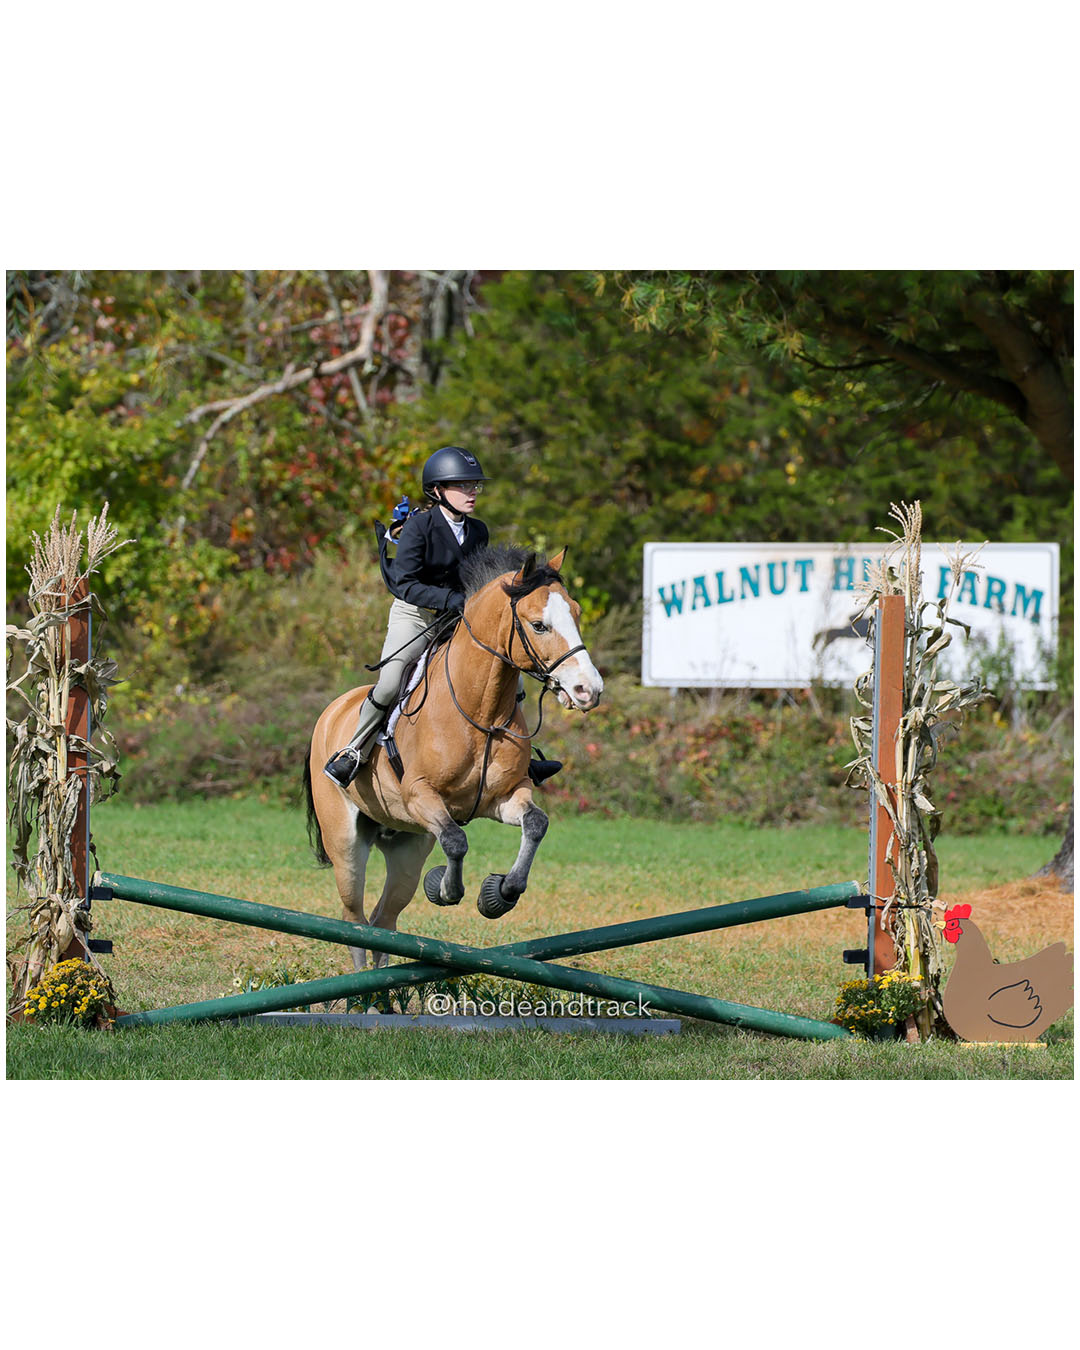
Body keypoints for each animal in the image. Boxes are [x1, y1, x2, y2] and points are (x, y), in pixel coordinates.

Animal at [303, 545, 604, 969]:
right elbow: (456, 840)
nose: (588, 690)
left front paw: (500, 894)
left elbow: (535, 824)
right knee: (354, 921)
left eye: (576, 613)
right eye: (539, 625)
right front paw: (444, 888)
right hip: (346, 844)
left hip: (407, 845)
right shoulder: (420, 795)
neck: (481, 709)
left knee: (383, 919)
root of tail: (331, 711)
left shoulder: (503, 797)